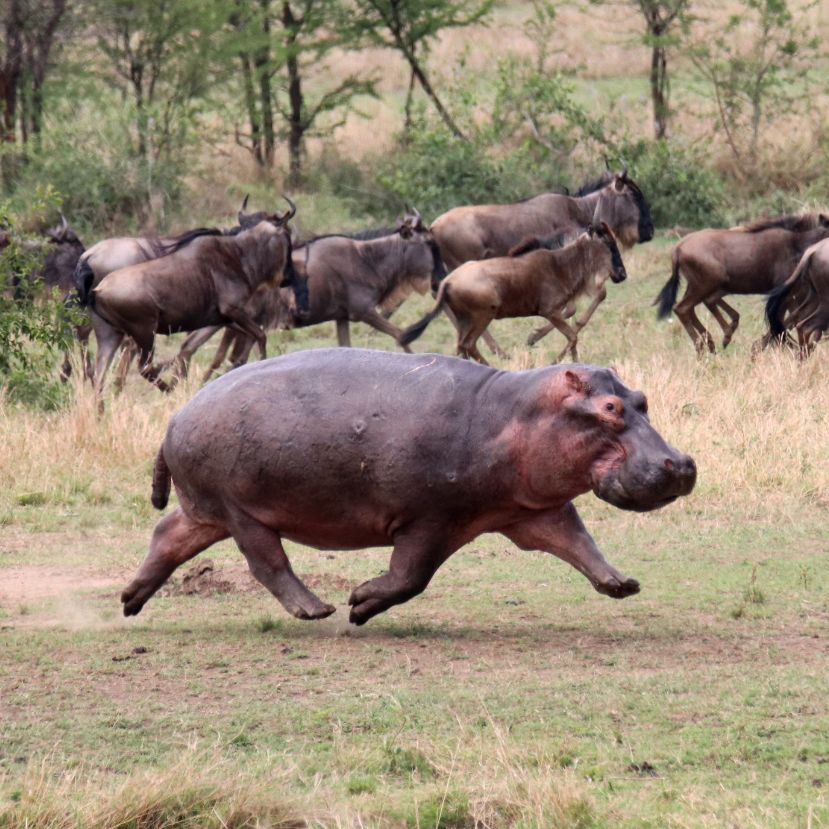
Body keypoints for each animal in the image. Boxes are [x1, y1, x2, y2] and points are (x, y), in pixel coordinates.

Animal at [121, 346, 692, 624]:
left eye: (641, 399)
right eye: (610, 408)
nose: (682, 464)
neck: (515, 413)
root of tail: (175, 417)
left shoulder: (533, 509)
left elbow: (578, 542)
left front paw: (621, 584)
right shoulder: (430, 518)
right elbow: (410, 576)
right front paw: (358, 603)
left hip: (207, 509)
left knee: (168, 535)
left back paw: (130, 600)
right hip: (242, 510)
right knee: (268, 563)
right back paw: (316, 610)